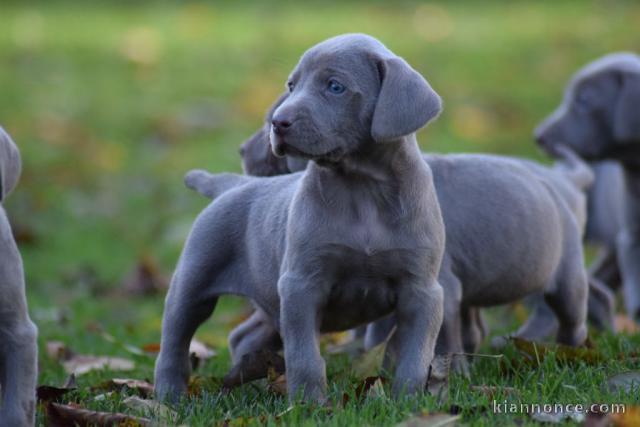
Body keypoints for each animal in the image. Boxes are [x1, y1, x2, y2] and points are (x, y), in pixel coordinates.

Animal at [155, 34, 448, 404]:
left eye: (335, 86)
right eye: (292, 86)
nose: (277, 122)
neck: (363, 189)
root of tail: (234, 184)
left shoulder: (422, 292)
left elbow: (415, 357)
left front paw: (409, 403)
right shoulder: (300, 284)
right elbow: (305, 356)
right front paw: (309, 405)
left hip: (267, 294)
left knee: (244, 334)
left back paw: (251, 376)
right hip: (195, 277)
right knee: (175, 338)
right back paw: (169, 397)